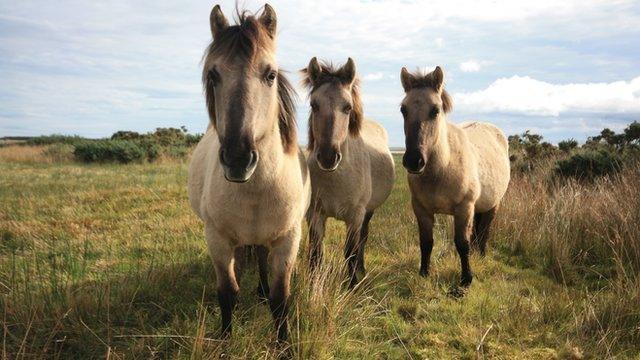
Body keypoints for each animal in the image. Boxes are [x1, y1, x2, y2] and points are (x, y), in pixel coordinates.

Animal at [186, 5, 312, 344]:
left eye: (270, 74)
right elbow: (227, 292)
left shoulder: (288, 240)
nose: (238, 158)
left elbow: (281, 298)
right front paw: (225, 342)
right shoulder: (217, 239)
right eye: (213, 75)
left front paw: (283, 345)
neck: (256, 190)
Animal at [300, 57, 396, 288]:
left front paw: (351, 285)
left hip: (368, 212)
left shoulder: (355, 216)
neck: (336, 178)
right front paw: (313, 286)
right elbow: (316, 254)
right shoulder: (315, 215)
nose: (328, 157)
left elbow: (350, 252)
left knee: (363, 238)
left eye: (347, 107)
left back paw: (361, 270)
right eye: (314, 105)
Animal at [400, 65, 510, 290]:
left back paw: (482, 256)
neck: (443, 168)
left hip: (493, 205)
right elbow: (426, 242)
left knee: (484, 231)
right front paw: (424, 273)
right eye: (403, 110)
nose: (414, 160)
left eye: (435, 110)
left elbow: (462, 244)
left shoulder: (464, 209)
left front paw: (466, 280)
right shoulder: (421, 210)